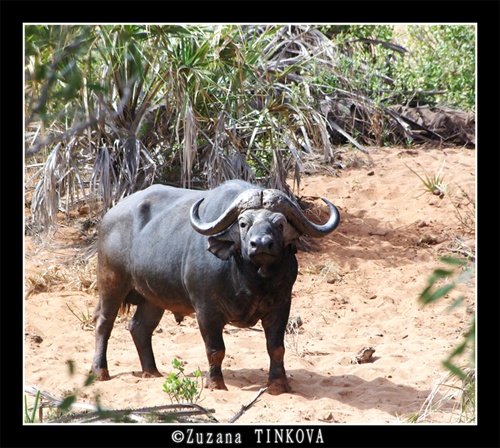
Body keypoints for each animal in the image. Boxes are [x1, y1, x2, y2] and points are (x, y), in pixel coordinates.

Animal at [92, 180, 340, 394]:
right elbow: (215, 349)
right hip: (111, 282)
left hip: (153, 298)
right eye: (243, 223)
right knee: (104, 324)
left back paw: (151, 372)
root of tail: (110, 215)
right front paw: (216, 384)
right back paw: (100, 371)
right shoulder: (206, 310)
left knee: (139, 327)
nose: (261, 244)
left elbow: (276, 347)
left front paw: (279, 384)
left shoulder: (281, 305)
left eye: (280, 224)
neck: (251, 279)